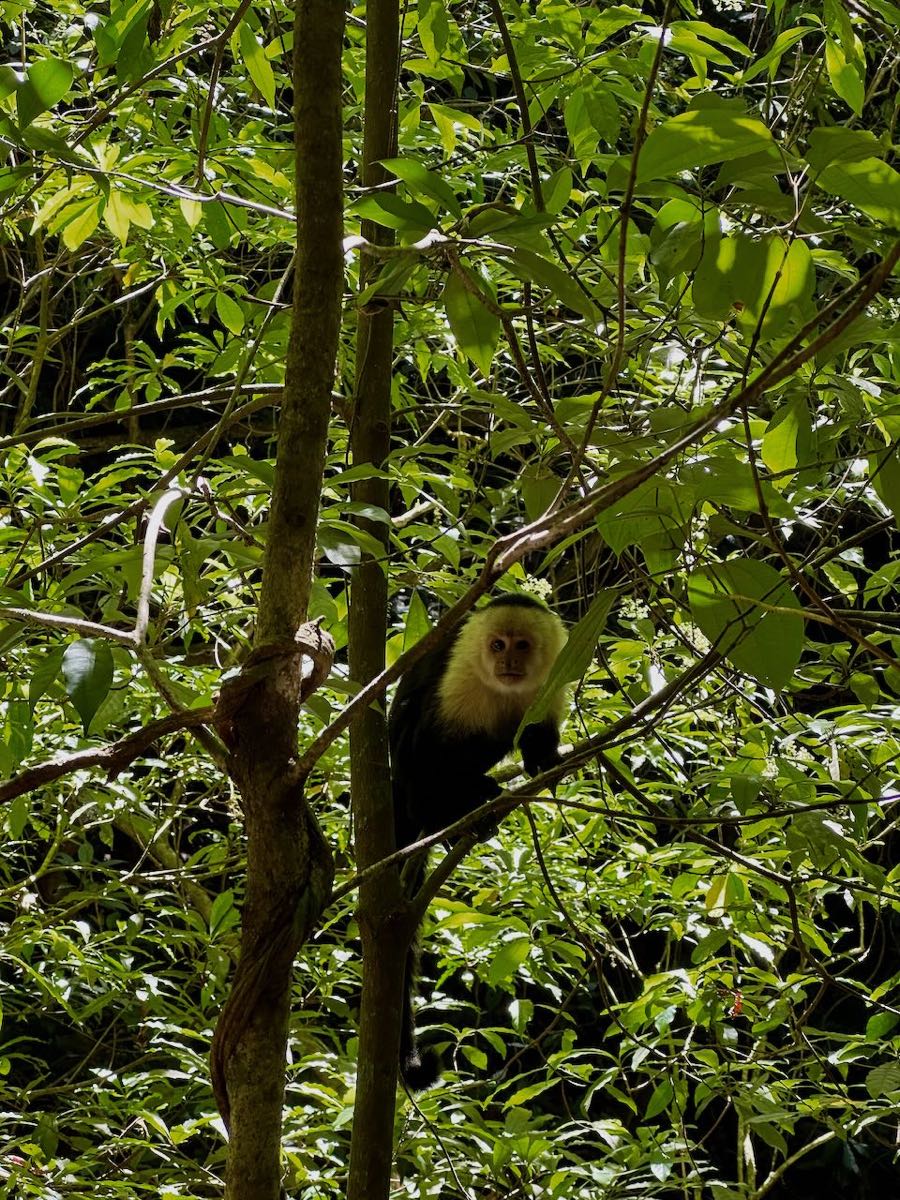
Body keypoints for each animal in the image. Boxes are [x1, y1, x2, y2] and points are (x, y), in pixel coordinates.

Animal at [388, 594, 568, 1089]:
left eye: (522, 645)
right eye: (497, 644)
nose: (508, 663)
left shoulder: (555, 674)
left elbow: (539, 732)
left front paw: (546, 760)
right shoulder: (461, 672)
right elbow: (432, 752)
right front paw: (464, 799)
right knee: (423, 761)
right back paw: (455, 811)